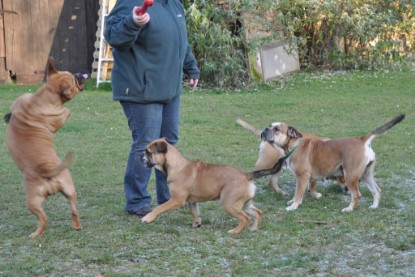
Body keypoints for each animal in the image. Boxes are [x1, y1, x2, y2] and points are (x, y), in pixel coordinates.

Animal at [3, 56, 88, 237]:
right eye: (72, 77)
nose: (80, 74)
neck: (46, 94)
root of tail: (47, 171)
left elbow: (66, 111)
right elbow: (66, 110)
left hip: (33, 201)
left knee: (44, 218)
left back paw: (35, 234)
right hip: (69, 191)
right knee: (72, 211)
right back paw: (75, 226)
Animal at [140, 137, 292, 233]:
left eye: (148, 152)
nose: (140, 158)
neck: (176, 165)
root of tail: (246, 175)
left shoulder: (177, 200)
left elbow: (159, 207)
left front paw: (148, 218)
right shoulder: (192, 202)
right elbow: (195, 213)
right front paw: (196, 224)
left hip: (229, 203)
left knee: (245, 218)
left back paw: (235, 231)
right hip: (244, 204)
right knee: (257, 213)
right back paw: (253, 229)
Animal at [264, 114, 406, 211]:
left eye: (276, 129)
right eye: (270, 126)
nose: (265, 129)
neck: (294, 145)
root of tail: (361, 140)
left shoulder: (302, 177)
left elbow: (298, 193)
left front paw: (293, 206)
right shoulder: (306, 178)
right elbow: (307, 189)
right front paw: (303, 199)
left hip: (351, 176)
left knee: (357, 194)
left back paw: (349, 209)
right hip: (366, 175)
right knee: (376, 190)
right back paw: (374, 206)